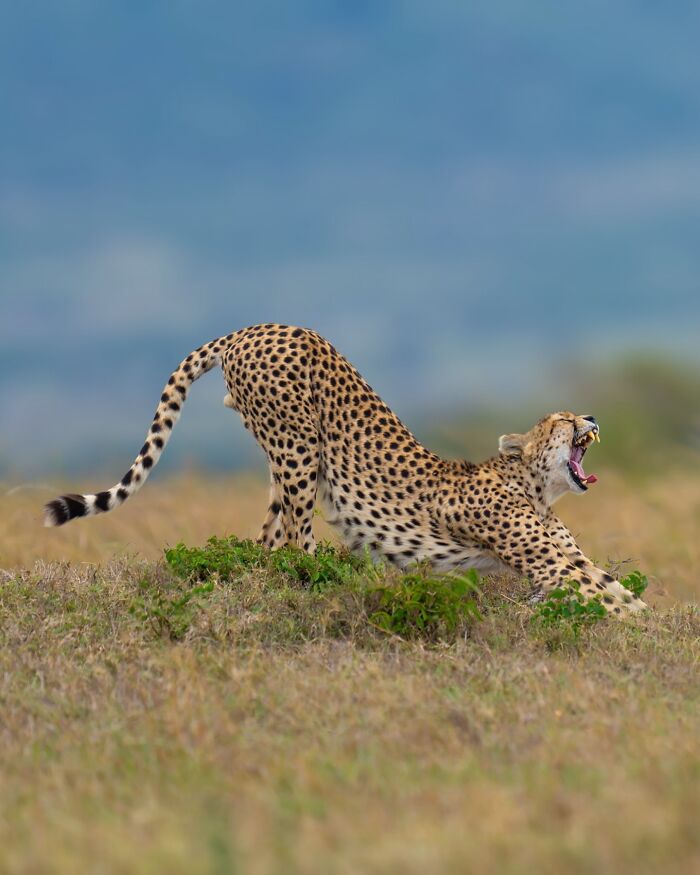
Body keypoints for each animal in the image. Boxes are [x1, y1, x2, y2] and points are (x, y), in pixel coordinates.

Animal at [44, 323, 646, 614]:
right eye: (563, 418)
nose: (592, 416)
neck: (535, 488)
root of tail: (254, 327)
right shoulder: (551, 564)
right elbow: (613, 599)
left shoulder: (564, 560)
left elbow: (614, 588)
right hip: (297, 446)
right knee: (296, 538)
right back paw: (326, 582)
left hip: (283, 457)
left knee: (266, 539)